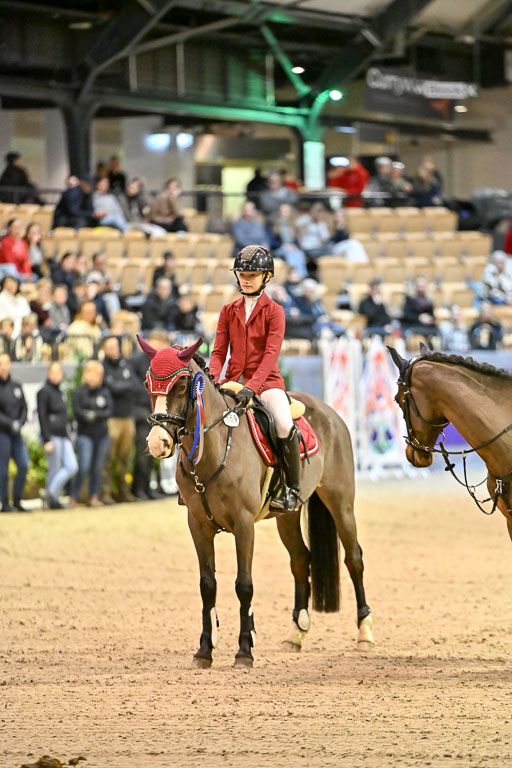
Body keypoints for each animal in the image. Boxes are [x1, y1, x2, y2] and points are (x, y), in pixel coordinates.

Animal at [139, 336, 375, 668]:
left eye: (182, 385)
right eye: (148, 384)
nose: (157, 443)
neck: (215, 448)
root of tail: (329, 412)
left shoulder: (244, 524)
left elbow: (244, 585)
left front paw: (244, 651)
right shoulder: (197, 525)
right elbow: (207, 586)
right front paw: (204, 651)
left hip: (341, 503)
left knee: (354, 559)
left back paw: (365, 633)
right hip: (288, 516)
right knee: (300, 559)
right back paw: (296, 633)